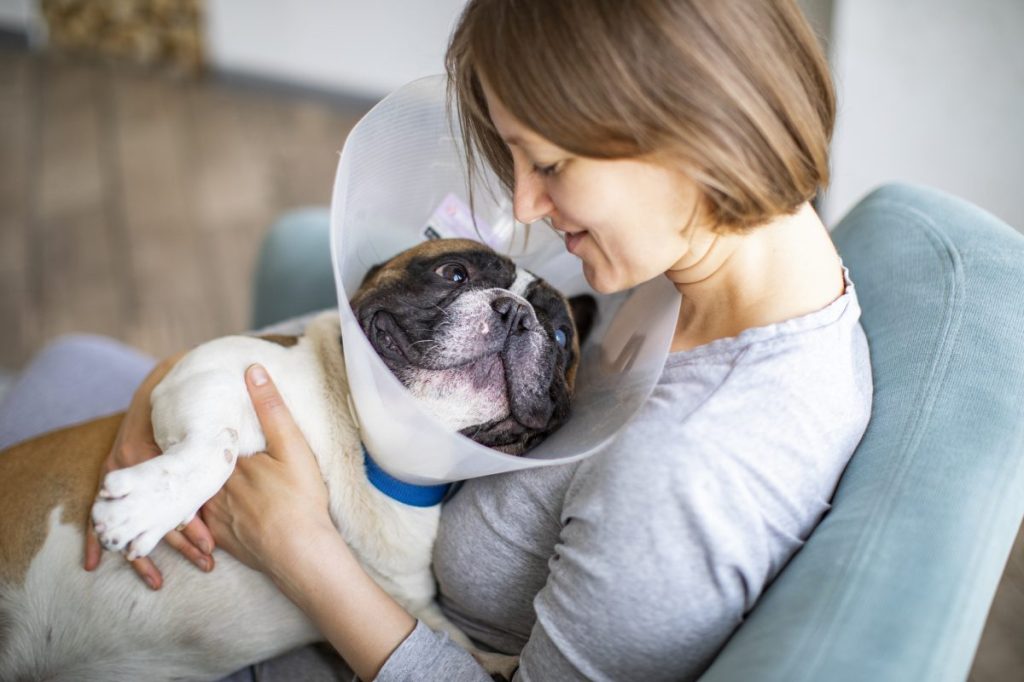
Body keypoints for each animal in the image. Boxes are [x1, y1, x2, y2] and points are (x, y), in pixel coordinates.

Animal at [0, 238, 598, 679]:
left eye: (559, 335)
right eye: (454, 273)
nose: (516, 313)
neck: (364, 447)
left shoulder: (403, 610)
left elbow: (459, 646)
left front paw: (503, 661)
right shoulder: (209, 374)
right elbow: (219, 447)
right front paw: (144, 509)